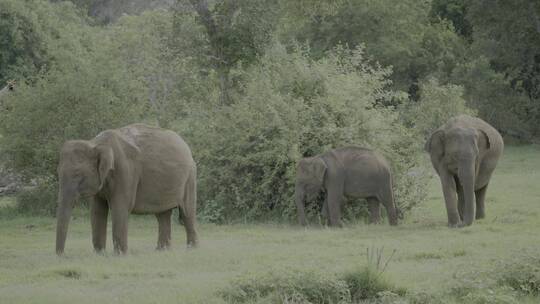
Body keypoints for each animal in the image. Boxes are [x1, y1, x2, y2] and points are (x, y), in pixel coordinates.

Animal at [56, 123, 198, 254]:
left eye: (77, 174)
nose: (62, 256)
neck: (96, 144)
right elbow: (97, 210)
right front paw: (99, 254)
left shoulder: (125, 171)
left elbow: (120, 207)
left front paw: (119, 255)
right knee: (162, 214)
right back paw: (161, 250)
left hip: (190, 178)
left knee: (187, 212)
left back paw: (191, 249)